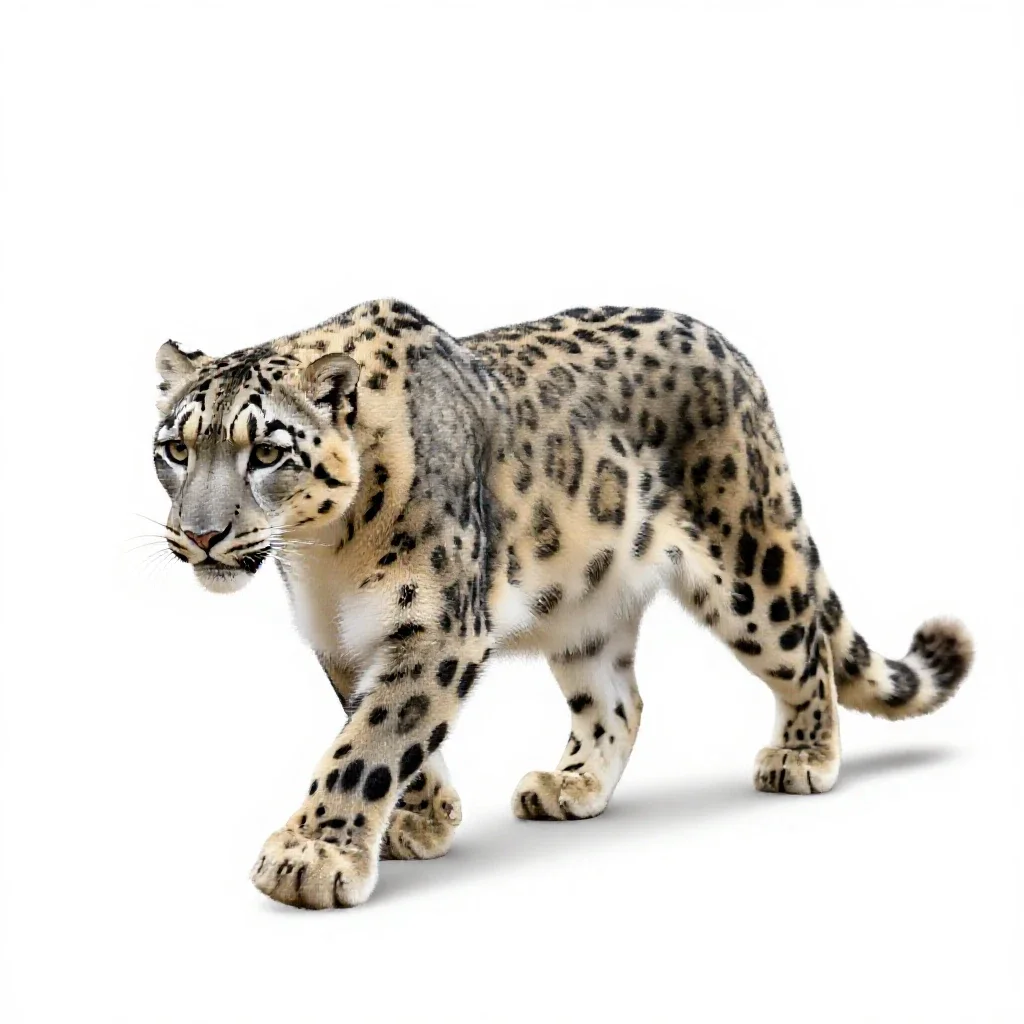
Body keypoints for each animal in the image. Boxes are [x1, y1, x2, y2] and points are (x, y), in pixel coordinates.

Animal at [152, 298, 973, 909]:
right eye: (176, 448)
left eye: (267, 453)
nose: (200, 533)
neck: (325, 556)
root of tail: (730, 351)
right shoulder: (343, 639)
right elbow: (388, 730)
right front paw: (424, 821)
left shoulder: (439, 626)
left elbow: (371, 742)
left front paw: (311, 855)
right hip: (585, 611)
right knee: (619, 701)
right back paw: (570, 784)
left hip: (748, 565)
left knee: (803, 647)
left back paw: (802, 756)